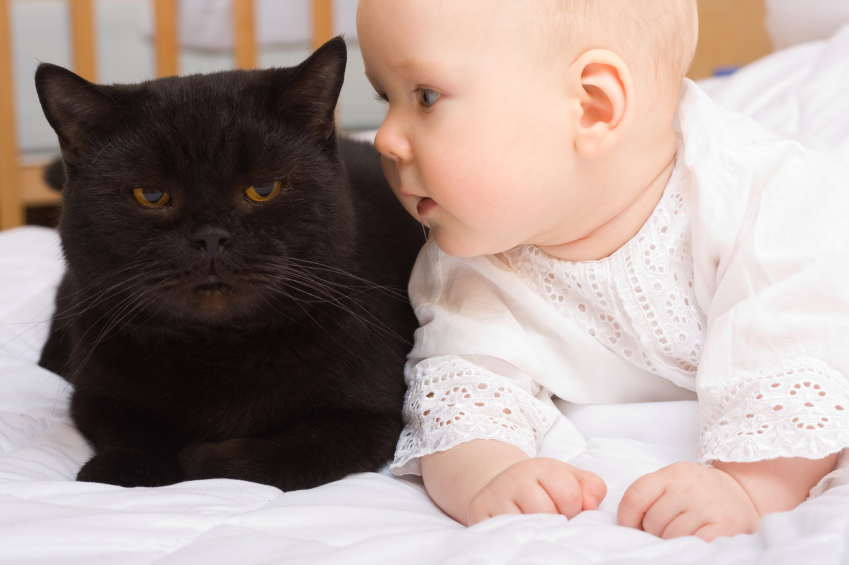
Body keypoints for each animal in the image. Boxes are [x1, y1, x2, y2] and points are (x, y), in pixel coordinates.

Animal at [34, 38, 422, 490]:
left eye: (263, 189)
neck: (218, 349)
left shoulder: (370, 416)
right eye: (151, 195)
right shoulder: (93, 396)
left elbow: (272, 459)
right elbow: (131, 429)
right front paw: (116, 469)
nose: (211, 237)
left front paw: (198, 456)